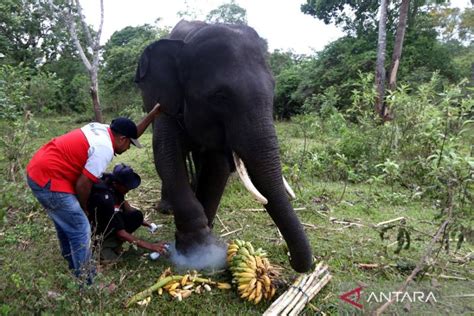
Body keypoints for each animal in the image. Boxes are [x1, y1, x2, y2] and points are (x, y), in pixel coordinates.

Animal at [134, 20, 312, 272]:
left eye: (273, 87)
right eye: (220, 96)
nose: (289, 258)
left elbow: (216, 167)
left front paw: (206, 240)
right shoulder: (165, 103)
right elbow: (166, 156)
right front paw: (197, 248)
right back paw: (166, 208)